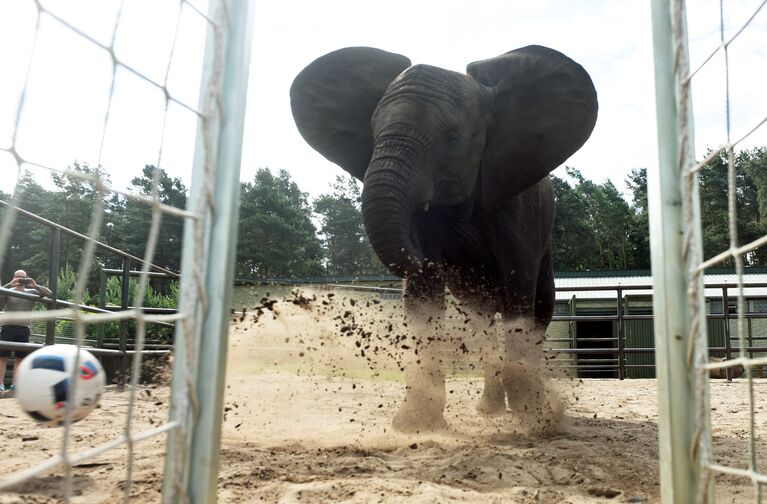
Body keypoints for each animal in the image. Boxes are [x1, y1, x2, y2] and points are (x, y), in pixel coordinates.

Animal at [292, 44, 596, 434]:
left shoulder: (518, 202)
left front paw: (535, 421)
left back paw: (535, 409)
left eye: (451, 141)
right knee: (481, 321)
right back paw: (490, 410)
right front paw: (414, 425)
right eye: (373, 133)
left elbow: (518, 285)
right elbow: (423, 299)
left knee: (539, 308)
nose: (432, 257)